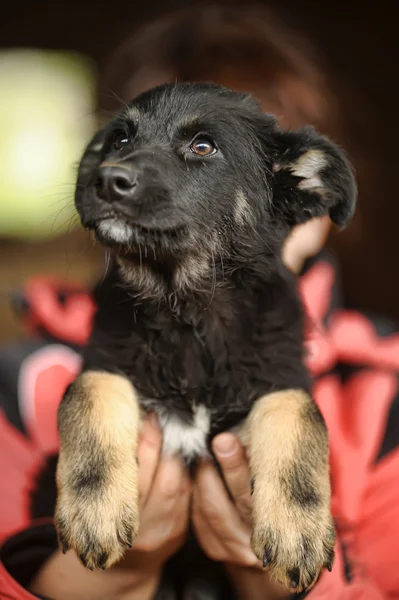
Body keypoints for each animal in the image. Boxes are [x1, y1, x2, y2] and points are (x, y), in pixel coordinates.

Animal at [54, 82, 358, 592]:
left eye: (203, 147)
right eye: (120, 140)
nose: (107, 179)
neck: (188, 313)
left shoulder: (278, 376)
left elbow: (299, 410)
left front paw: (298, 530)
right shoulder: (109, 357)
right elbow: (88, 390)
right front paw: (93, 511)